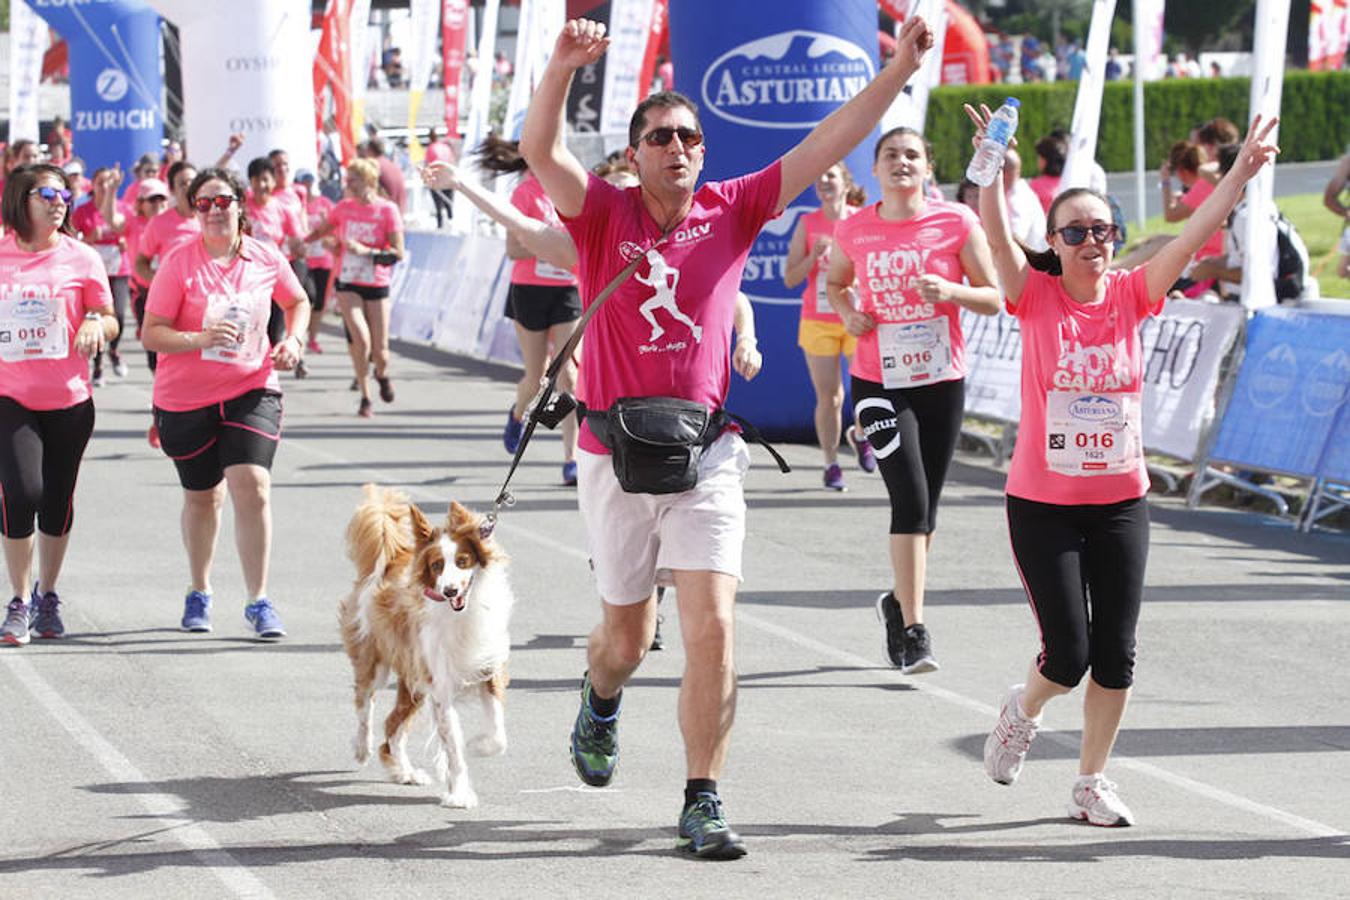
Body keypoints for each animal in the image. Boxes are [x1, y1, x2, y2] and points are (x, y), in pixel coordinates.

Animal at [340, 485, 513, 809]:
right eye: (436, 566)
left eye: (463, 561)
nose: (450, 590)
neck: (461, 614)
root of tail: (392, 557)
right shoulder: (440, 687)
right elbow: (453, 747)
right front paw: (459, 794)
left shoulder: (488, 669)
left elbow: (498, 736)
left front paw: (478, 745)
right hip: (375, 660)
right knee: (364, 703)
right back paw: (361, 747)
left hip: (414, 683)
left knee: (392, 726)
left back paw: (405, 772)